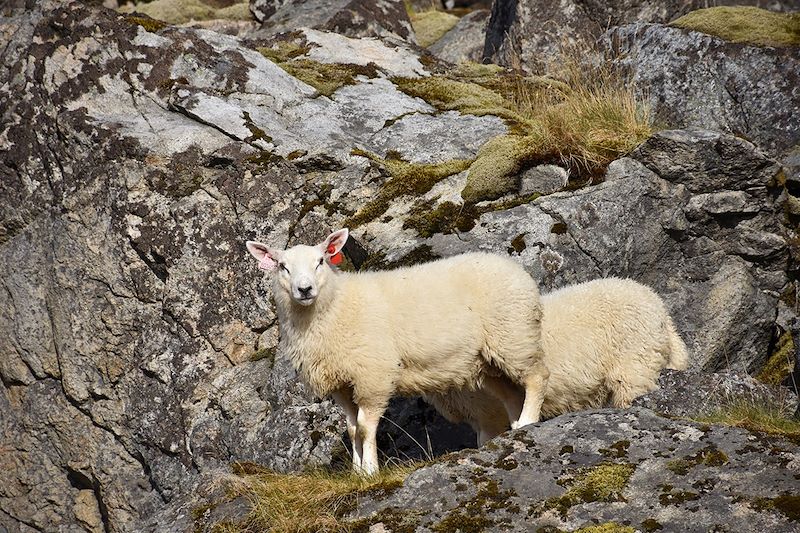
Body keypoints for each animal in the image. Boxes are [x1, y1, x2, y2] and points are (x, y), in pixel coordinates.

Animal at [247, 229, 552, 474]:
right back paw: (516, 427)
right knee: (511, 393)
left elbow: (365, 426)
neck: (335, 305)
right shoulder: (342, 383)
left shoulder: (373, 374)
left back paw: (528, 421)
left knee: (537, 376)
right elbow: (352, 428)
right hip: (488, 359)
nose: (304, 289)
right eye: (283, 266)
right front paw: (356, 472)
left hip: (513, 335)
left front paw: (370, 470)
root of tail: (515, 268)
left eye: (321, 261)